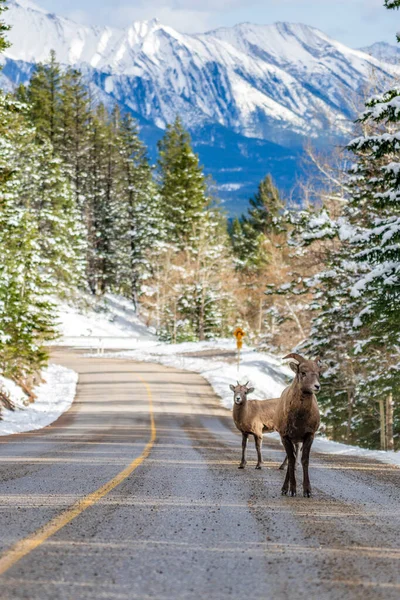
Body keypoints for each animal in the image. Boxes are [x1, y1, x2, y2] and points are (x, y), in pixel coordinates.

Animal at [276, 352, 322, 496]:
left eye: (318, 372)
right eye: (303, 372)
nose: (317, 386)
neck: (299, 418)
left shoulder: (309, 435)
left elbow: (304, 460)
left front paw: (307, 491)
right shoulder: (285, 437)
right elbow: (291, 461)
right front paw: (292, 490)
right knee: (291, 460)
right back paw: (285, 489)